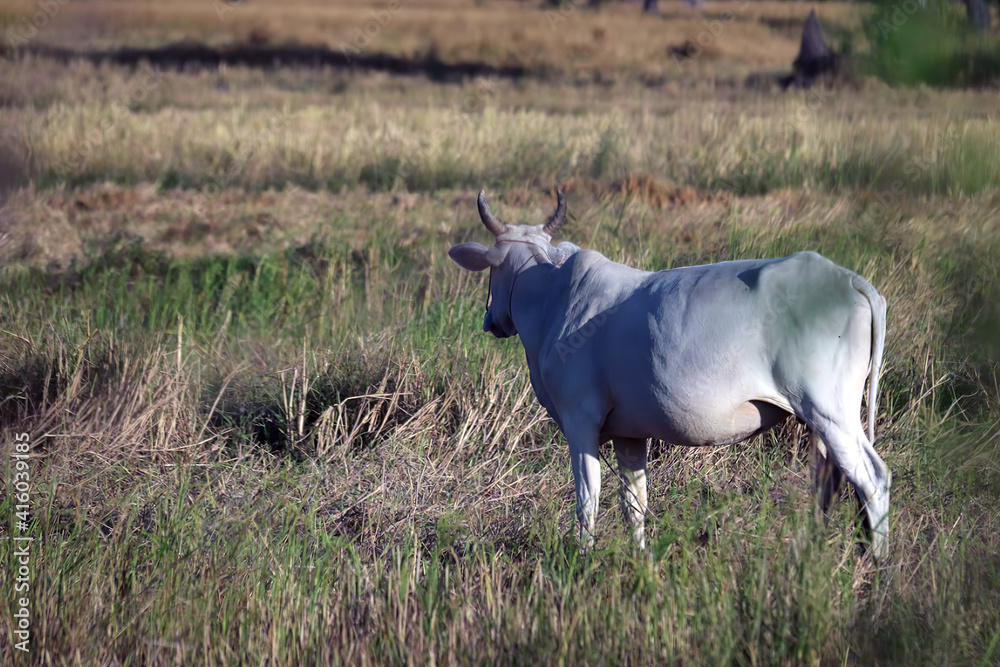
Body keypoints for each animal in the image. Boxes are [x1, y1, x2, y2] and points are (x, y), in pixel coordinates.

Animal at [448, 190, 891, 560]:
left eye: (492, 270)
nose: (491, 321)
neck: (552, 296)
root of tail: (851, 280)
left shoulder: (580, 422)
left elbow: (588, 498)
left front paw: (582, 558)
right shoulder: (629, 434)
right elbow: (634, 502)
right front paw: (640, 559)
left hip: (830, 413)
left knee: (873, 480)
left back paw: (878, 567)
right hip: (820, 423)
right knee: (829, 484)